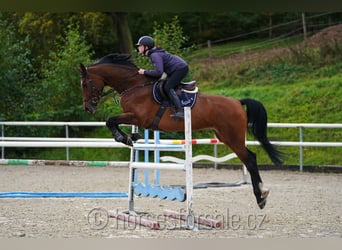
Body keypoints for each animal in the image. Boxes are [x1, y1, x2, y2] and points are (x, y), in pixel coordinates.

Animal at [78, 53, 284, 210]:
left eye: (85, 84)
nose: (88, 108)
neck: (134, 85)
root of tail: (237, 102)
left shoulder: (138, 117)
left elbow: (110, 120)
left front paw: (124, 137)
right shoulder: (135, 118)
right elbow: (114, 122)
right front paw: (132, 136)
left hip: (233, 137)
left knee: (250, 159)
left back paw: (261, 197)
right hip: (224, 136)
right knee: (249, 158)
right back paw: (262, 195)